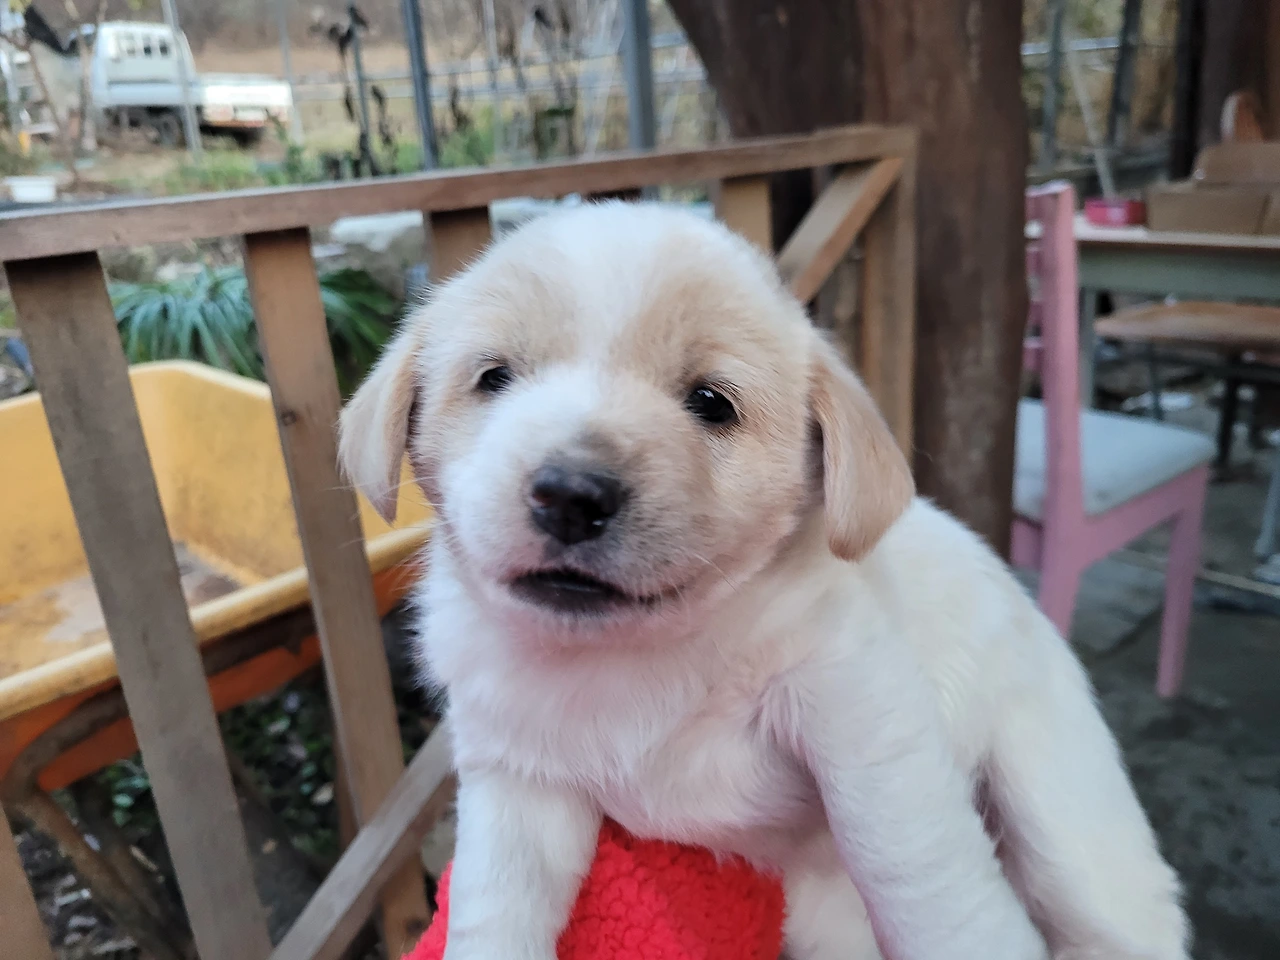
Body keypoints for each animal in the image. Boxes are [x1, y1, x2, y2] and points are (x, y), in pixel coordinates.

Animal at [340, 203, 1188, 960]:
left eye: (711, 402)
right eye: (494, 378)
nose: (571, 495)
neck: (631, 654)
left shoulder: (856, 708)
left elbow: (922, 873)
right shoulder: (516, 778)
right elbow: (494, 910)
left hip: (1065, 825)